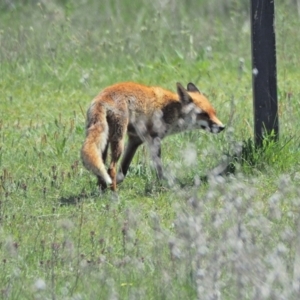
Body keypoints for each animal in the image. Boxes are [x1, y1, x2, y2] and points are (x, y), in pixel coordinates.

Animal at [81, 81, 224, 191]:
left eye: (214, 113)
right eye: (203, 114)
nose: (222, 127)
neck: (172, 110)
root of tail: (102, 98)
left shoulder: (135, 140)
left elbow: (124, 170)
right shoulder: (154, 139)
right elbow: (159, 167)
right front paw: (163, 185)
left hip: (105, 143)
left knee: (102, 168)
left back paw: (103, 189)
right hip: (118, 142)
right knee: (111, 169)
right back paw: (114, 193)